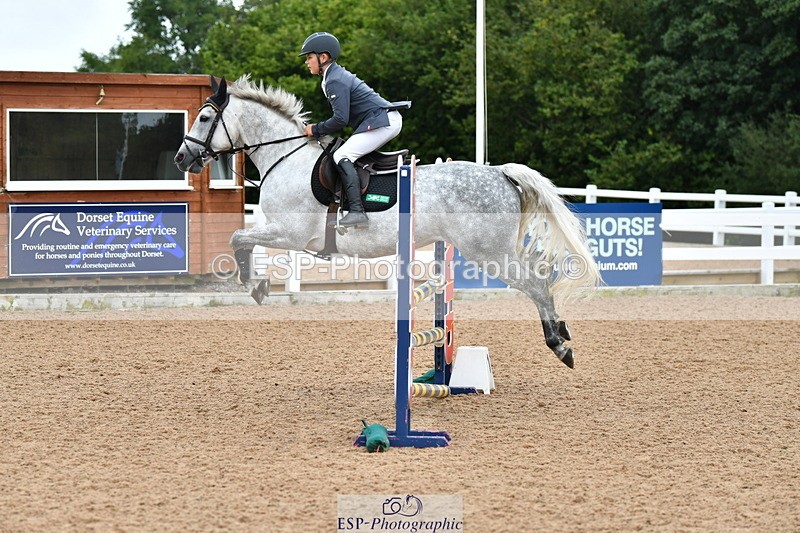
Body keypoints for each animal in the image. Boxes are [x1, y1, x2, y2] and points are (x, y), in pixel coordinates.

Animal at [174, 75, 600, 368]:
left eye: (206, 117)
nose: (181, 158)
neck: (285, 158)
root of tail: (499, 173)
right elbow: (240, 238)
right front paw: (258, 285)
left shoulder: (290, 234)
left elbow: (237, 238)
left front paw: (257, 286)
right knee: (538, 280)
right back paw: (563, 334)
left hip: (489, 253)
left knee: (537, 283)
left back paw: (560, 344)